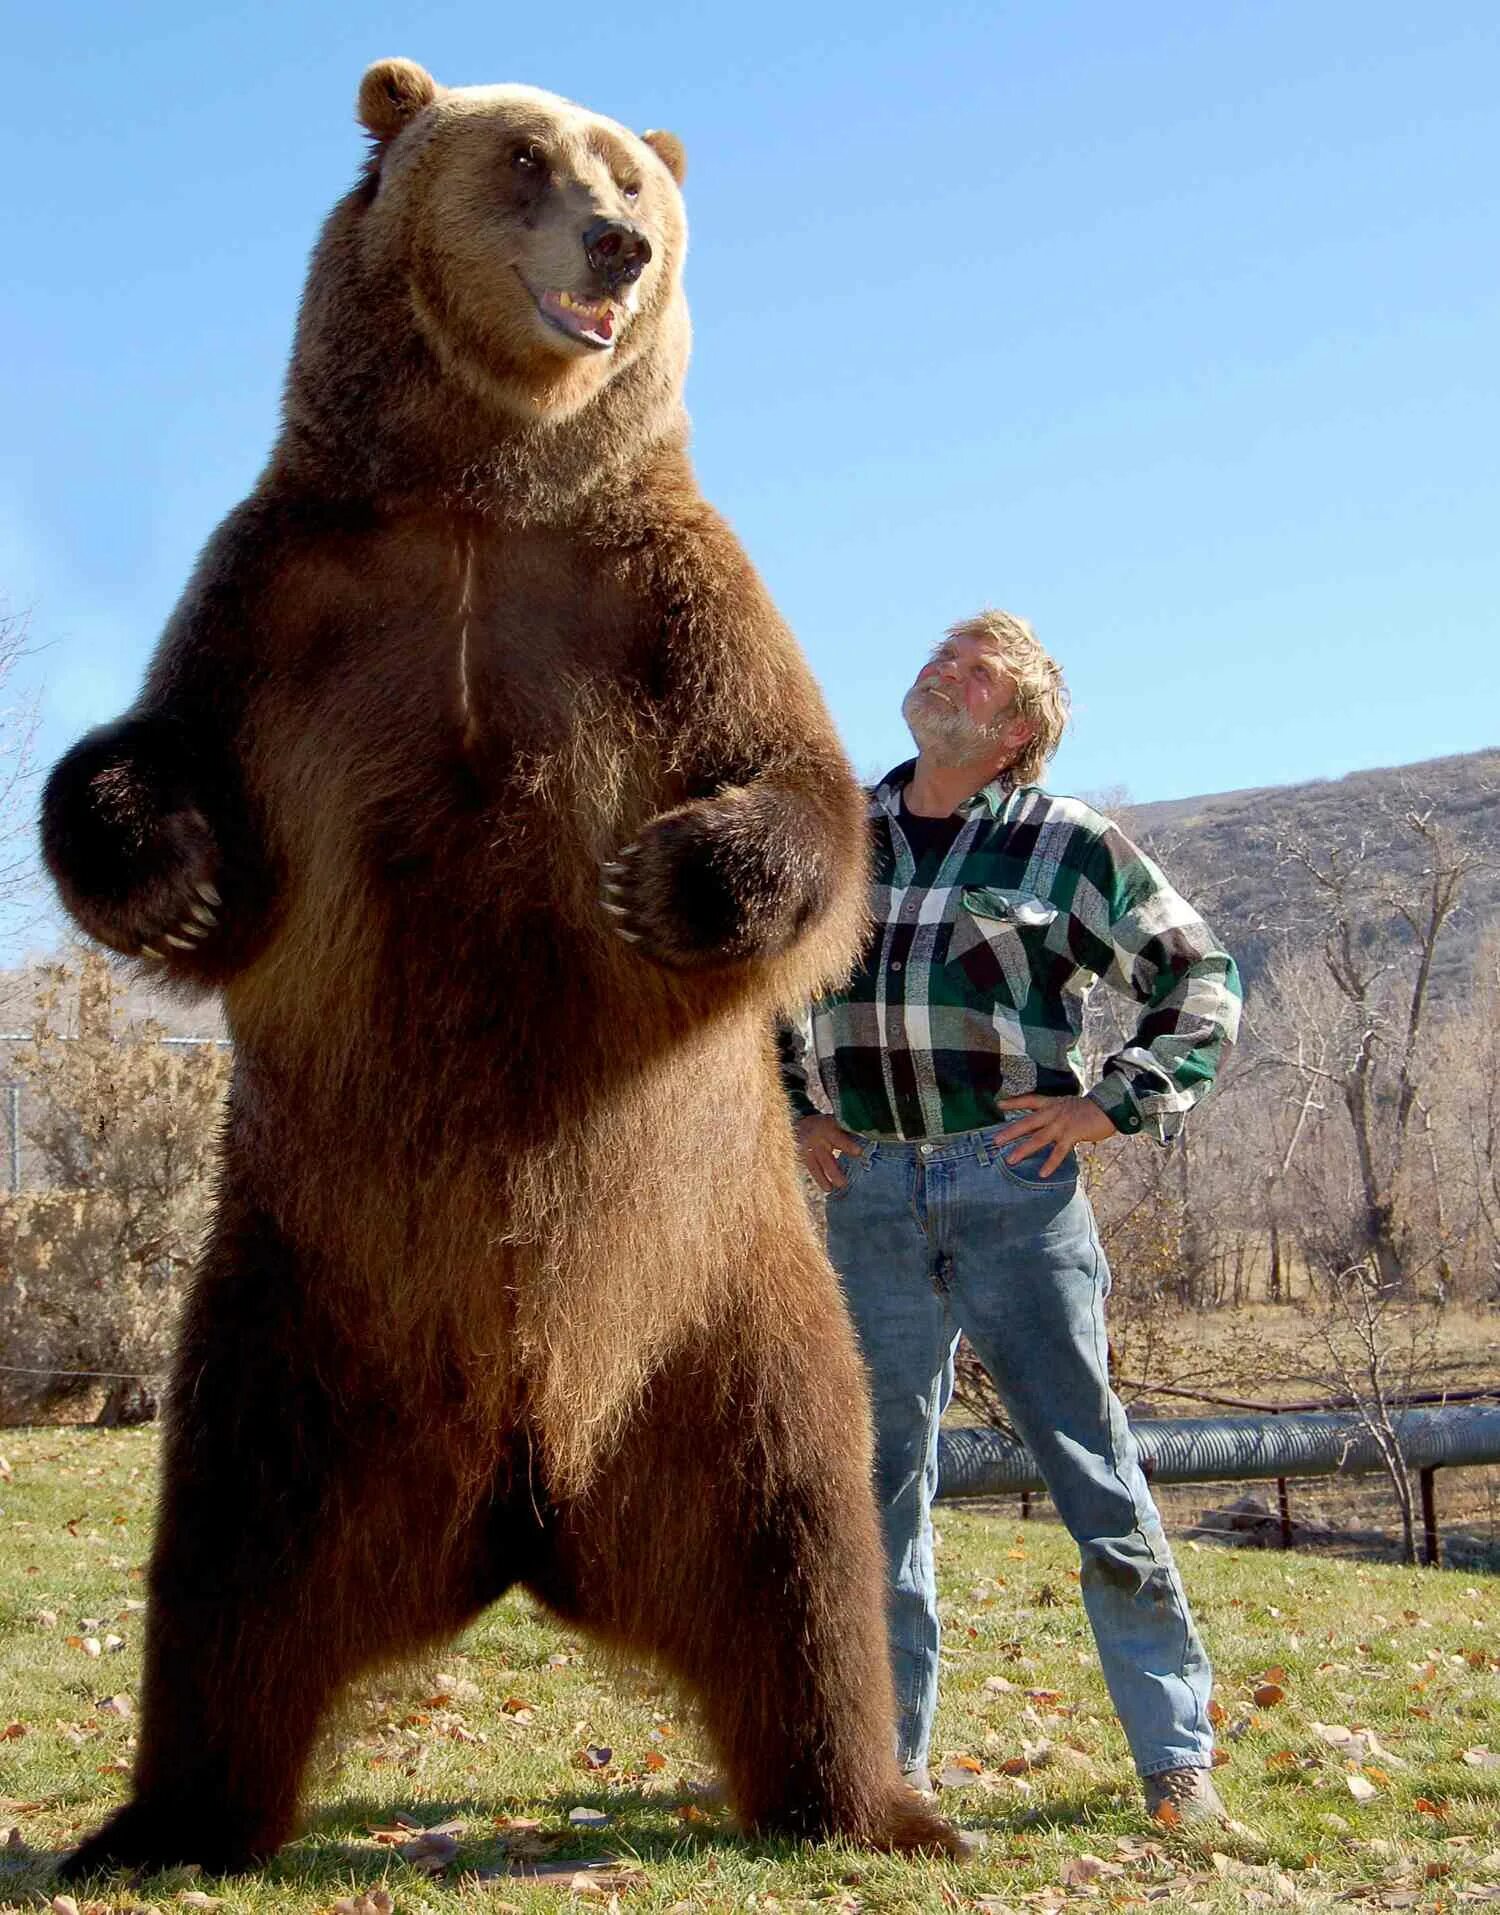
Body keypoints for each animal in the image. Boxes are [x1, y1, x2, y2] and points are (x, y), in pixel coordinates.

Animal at [46, 56, 969, 1869]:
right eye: (529, 159)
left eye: (634, 175)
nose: (620, 245)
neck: (485, 489)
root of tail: (526, 1506)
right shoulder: (294, 591)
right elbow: (166, 752)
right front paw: (172, 877)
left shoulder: (661, 595)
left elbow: (802, 793)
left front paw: (668, 878)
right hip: (297, 1329)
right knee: (225, 1584)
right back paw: (164, 1818)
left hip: (722, 1312)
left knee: (806, 1548)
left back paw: (873, 1803)